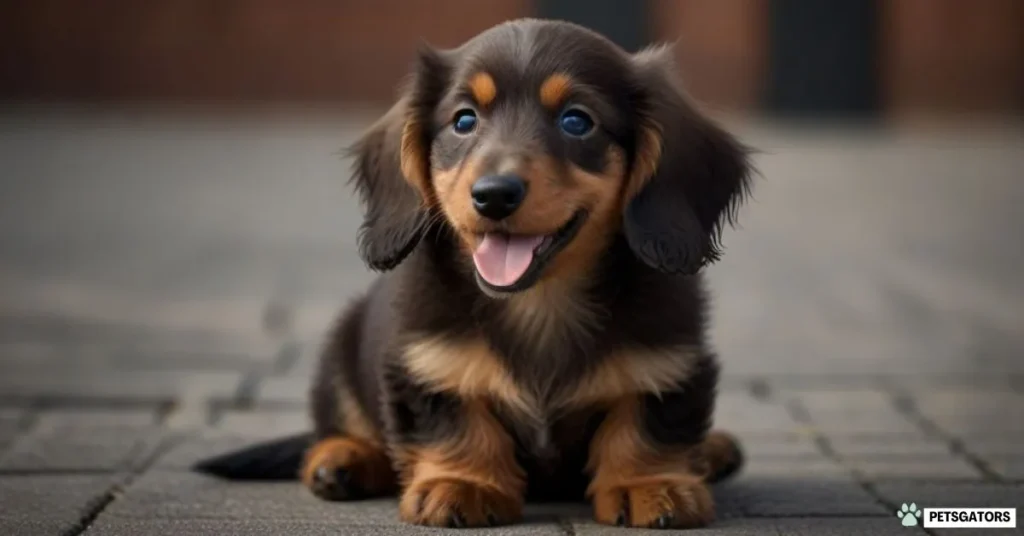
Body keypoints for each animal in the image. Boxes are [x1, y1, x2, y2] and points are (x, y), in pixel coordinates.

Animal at [193, 18, 753, 528]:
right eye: (464, 120)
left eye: (577, 121)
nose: (494, 195)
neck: (538, 302)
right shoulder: (426, 365)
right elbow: (457, 424)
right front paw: (461, 484)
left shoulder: (670, 364)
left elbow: (646, 426)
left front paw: (650, 485)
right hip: (341, 351)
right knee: (346, 425)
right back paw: (342, 460)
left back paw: (714, 450)